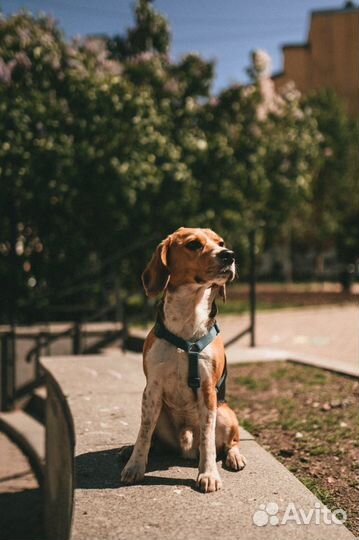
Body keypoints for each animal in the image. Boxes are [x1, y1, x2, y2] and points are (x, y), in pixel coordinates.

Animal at [121, 226, 248, 492]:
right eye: (193, 245)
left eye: (221, 242)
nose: (229, 255)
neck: (188, 315)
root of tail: (186, 446)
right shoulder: (152, 389)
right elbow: (143, 433)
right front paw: (135, 465)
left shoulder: (208, 391)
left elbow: (208, 441)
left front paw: (208, 474)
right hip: (159, 411)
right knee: (152, 438)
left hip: (225, 413)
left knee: (229, 442)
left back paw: (234, 457)